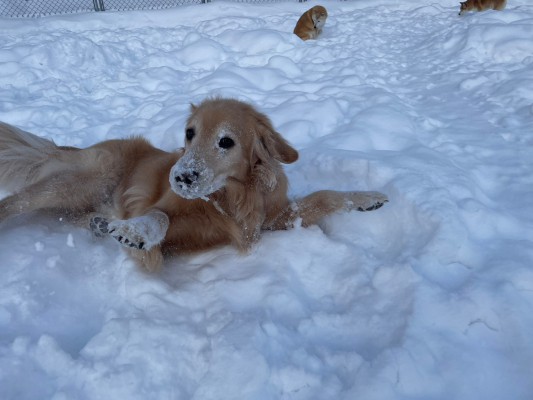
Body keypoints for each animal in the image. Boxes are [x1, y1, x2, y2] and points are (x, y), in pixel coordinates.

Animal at [0, 98, 384, 270]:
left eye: (225, 141)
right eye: (189, 133)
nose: (181, 177)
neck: (230, 196)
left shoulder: (273, 217)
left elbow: (324, 195)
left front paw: (368, 197)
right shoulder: (153, 204)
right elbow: (159, 217)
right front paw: (136, 233)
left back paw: (99, 224)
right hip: (81, 181)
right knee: (13, 202)